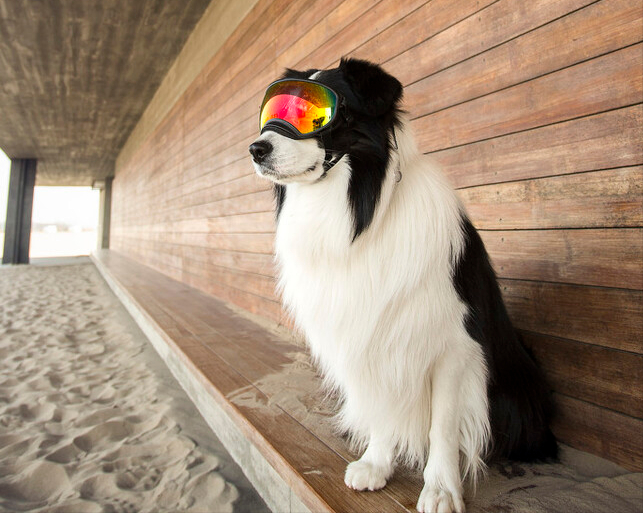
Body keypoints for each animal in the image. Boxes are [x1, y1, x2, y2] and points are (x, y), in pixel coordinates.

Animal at [249, 58, 556, 510]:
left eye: (319, 114)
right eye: (275, 110)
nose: (256, 149)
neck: (356, 212)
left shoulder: (453, 346)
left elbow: (443, 427)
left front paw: (441, 488)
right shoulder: (368, 336)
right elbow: (382, 406)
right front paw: (377, 463)